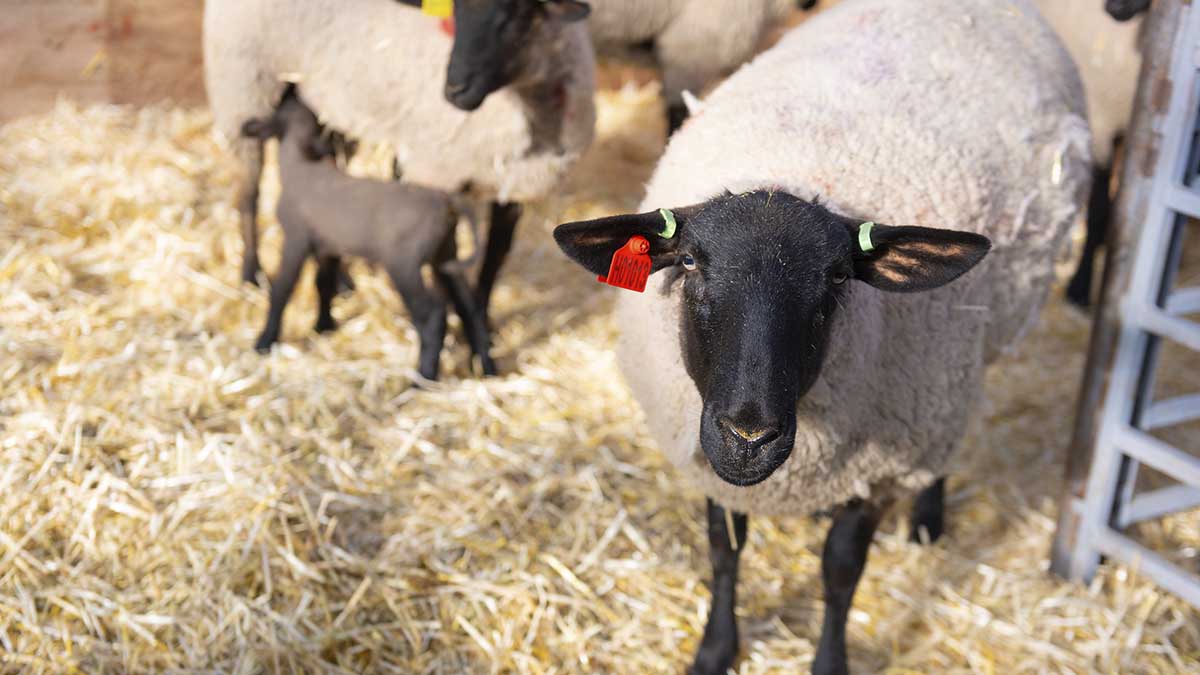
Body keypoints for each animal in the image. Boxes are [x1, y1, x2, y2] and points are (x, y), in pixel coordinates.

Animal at [210, 0, 600, 324]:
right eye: (455, 11)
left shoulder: (514, 187)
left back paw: (341, 278)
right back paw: (251, 274)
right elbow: (447, 268)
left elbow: (494, 259)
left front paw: (483, 324)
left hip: (327, 104)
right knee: (248, 191)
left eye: (515, 16)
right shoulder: (436, 174)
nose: (454, 90)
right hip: (244, 83)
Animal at [240, 90, 496, 381]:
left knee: (431, 316)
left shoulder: (296, 239)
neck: (300, 166)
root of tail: (446, 202)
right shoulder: (329, 246)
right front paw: (323, 327)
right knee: (469, 306)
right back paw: (487, 368)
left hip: (404, 263)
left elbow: (281, 290)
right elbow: (323, 283)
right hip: (445, 254)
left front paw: (264, 341)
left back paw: (422, 379)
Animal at [554, 2, 1099, 667]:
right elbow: (723, 550)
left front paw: (829, 659)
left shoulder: (880, 467)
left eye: (838, 276)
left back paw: (928, 515)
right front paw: (716, 650)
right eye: (688, 263)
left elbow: (841, 571)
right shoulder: (702, 443)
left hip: (963, 364)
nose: (749, 436)